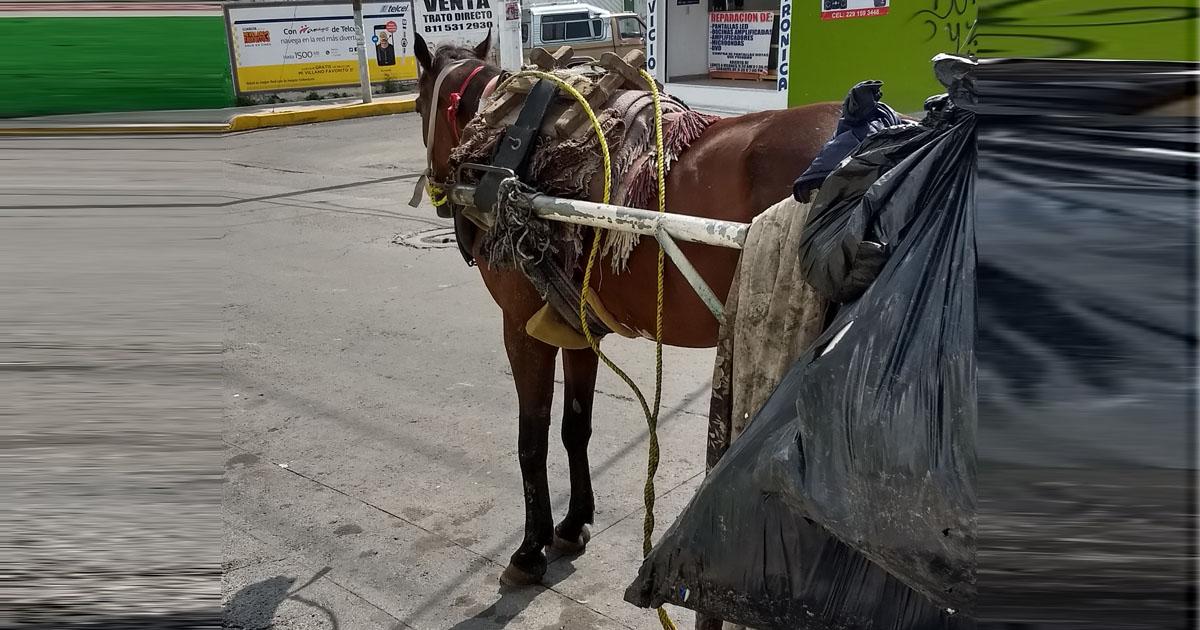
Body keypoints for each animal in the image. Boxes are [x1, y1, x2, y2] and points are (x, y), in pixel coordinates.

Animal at [412, 33, 844, 585]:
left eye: (417, 105)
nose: (442, 194)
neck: (506, 144)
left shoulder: (521, 329)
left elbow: (531, 441)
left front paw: (529, 548)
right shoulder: (574, 324)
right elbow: (575, 428)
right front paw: (573, 522)